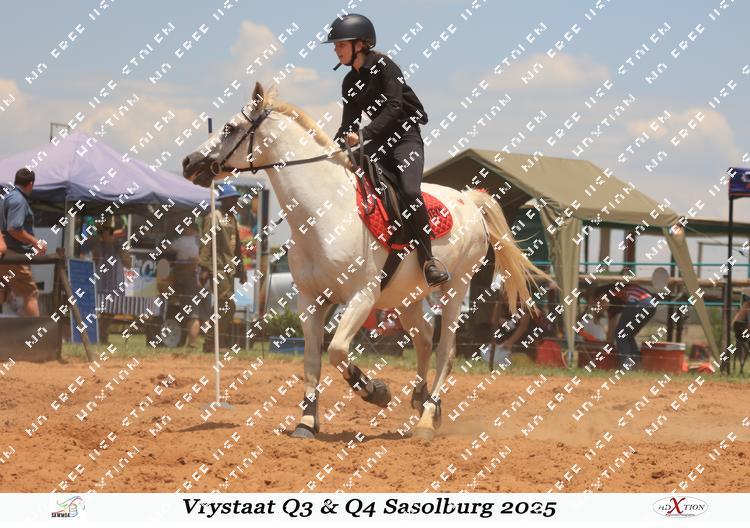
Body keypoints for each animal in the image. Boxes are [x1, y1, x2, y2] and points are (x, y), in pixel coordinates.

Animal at [182, 82, 543, 441]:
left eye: (230, 128)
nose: (189, 162)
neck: (324, 211)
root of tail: (468, 198)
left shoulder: (361, 297)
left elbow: (338, 350)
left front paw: (376, 391)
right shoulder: (310, 300)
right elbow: (311, 362)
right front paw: (306, 423)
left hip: (456, 287)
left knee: (446, 351)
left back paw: (427, 418)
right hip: (407, 298)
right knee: (424, 338)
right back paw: (421, 399)